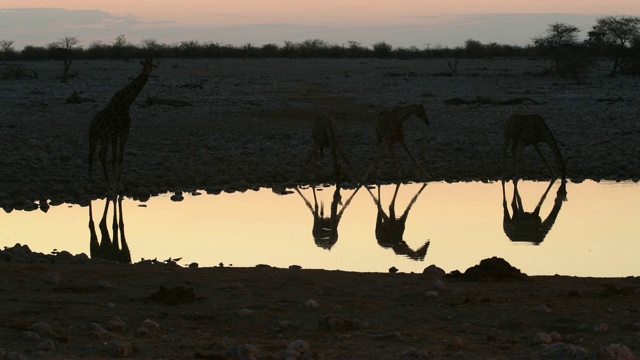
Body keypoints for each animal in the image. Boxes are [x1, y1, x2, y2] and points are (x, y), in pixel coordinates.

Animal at [88, 57, 154, 190]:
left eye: (151, 66)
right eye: (143, 66)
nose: (146, 73)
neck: (126, 105)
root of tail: (91, 123)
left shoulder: (124, 133)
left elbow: (121, 157)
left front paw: (120, 184)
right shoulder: (114, 133)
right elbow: (114, 158)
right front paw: (115, 185)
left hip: (104, 138)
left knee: (101, 157)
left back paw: (107, 182)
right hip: (93, 137)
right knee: (91, 157)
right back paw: (88, 183)